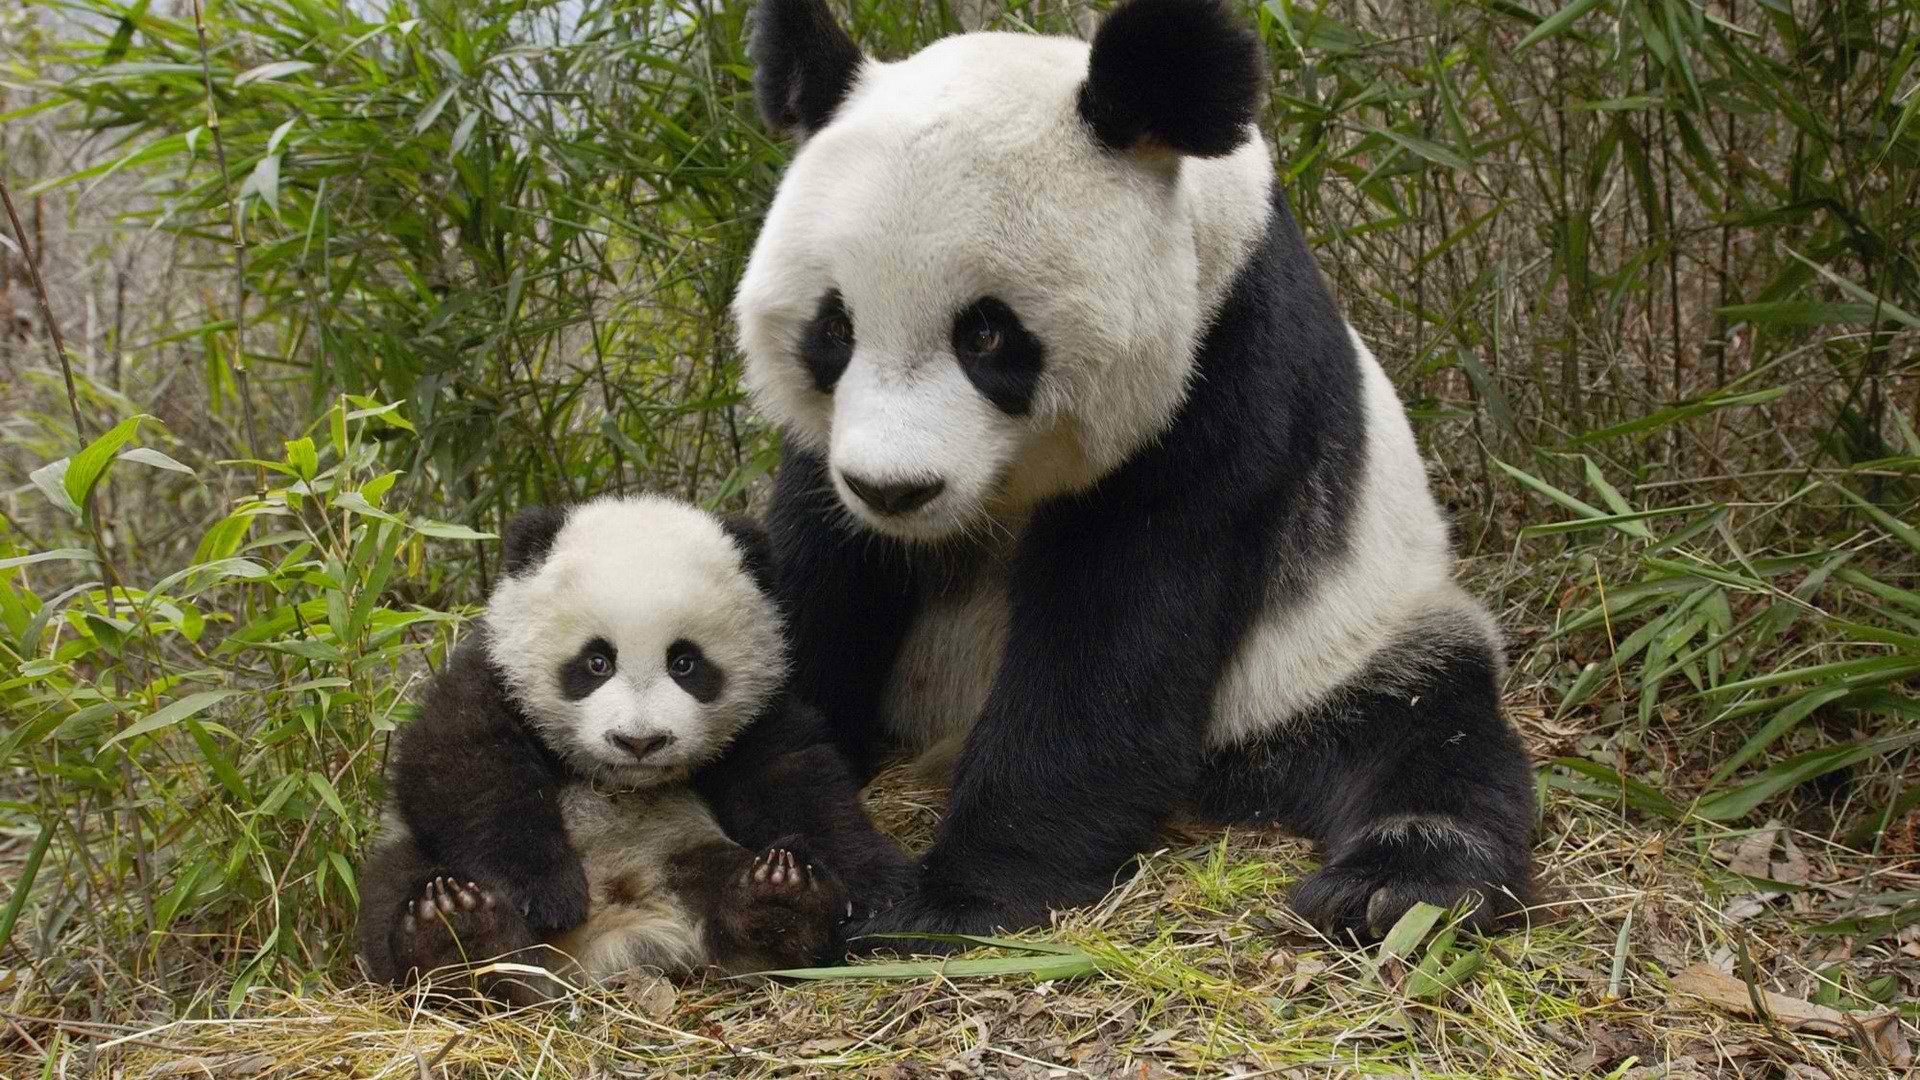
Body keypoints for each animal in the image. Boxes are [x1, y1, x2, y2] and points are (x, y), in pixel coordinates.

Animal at [357, 491, 910, 999]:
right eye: (596, 661)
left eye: (685, 663)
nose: (640, 741)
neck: (621, 784)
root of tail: (611, 940)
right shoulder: (491, 676)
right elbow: (463, 766)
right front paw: (547, 892)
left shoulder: (760, 712)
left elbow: (797, 780)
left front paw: (878, 886)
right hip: (410, 860)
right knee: (396, 885)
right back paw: (457, 936)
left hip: (684, 850)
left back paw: (780, 902)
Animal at [725, 0, 1536, 937]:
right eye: (834, 330)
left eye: (987, 334)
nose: (895, 491)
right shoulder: (828, 459)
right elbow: (818, 579)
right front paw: (794, 841)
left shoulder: (1224, 372)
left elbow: (1117, 634)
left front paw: (955, 896)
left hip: (1343, 641)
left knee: (1425, 728)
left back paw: (1393, 886)